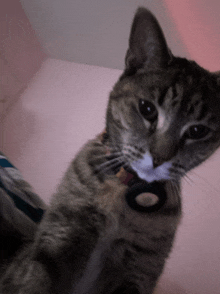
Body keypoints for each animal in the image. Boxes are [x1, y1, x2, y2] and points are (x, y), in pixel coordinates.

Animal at [0, 6, 220, 294]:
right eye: (147, 109)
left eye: (197, 131)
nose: (159, 158)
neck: (123, 191)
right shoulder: (58, 237)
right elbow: (36, 280)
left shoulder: (140, 268)